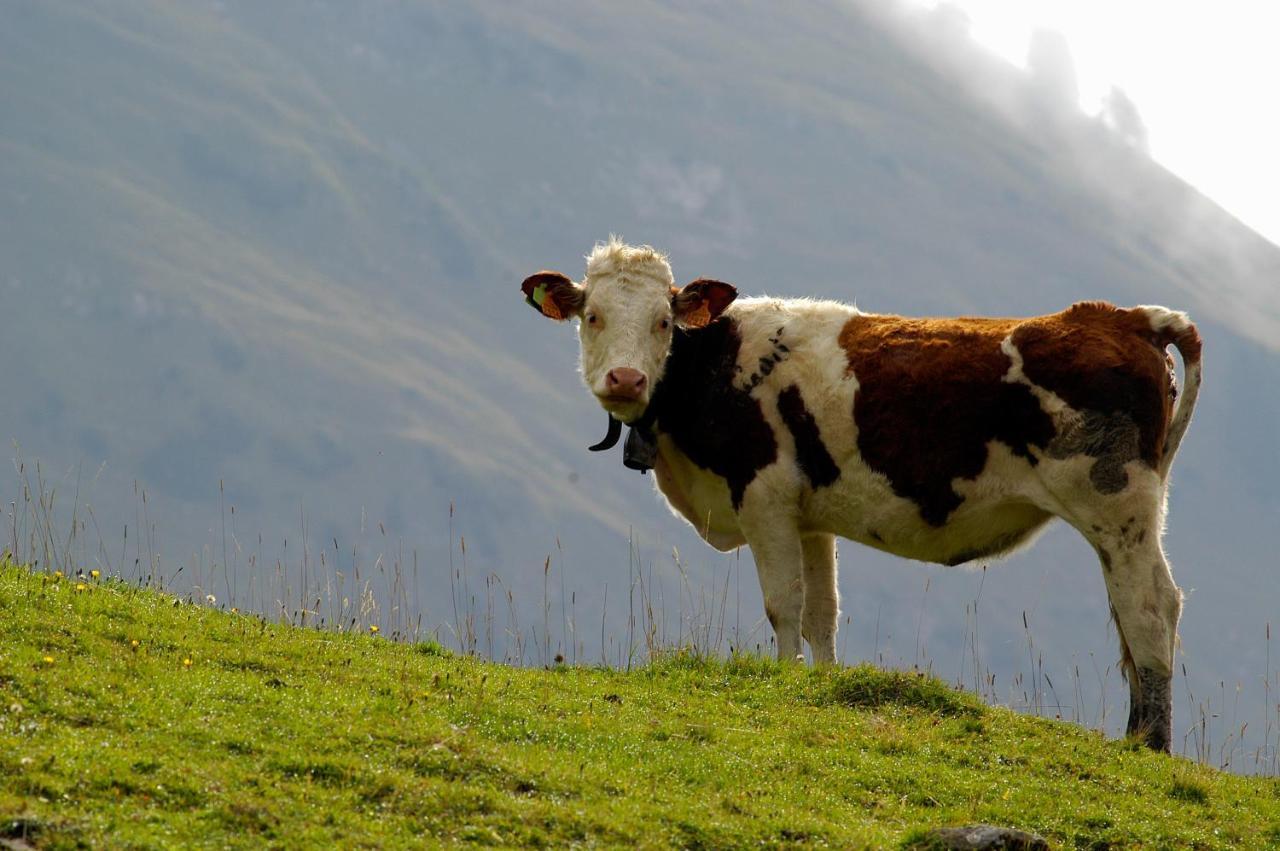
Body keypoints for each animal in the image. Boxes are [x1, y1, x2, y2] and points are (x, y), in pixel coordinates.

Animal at [519, 235, 1198, 747]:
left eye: (664, 322)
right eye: (592, 316)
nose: (625, 378)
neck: (711, 369)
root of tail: (1123, 316)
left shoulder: (763, 499)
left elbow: (784, 604)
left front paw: (784, 681)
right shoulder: (810, 518)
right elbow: (823, 615)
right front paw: (820, 684)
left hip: (1117, 506)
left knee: (1150, 607)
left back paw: (1150, 746)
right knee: (1130, 615)